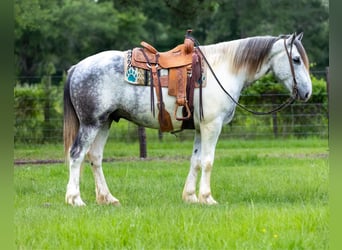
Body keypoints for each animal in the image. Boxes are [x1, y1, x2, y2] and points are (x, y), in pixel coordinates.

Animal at [62, 32, 312, 206]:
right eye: (296, 59)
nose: (307, 92)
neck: (224, 69)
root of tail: (76, 67)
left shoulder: (201, 128)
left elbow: (196, 160)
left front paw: (191, 196)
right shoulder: (212, 126)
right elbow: (208, 161)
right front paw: (207, 197)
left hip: (104, 122)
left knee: (95, 157)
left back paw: (107, 198)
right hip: (91, 124)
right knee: (76, 155)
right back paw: (75, 199)